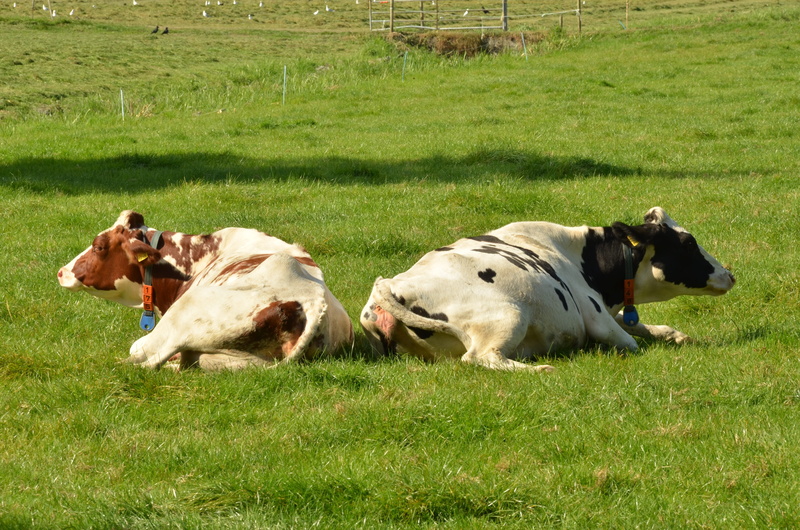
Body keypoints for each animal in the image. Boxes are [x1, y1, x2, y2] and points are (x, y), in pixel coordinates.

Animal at [360, 207, 735, 372]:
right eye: (689, 243)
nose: (730, 274)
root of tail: (391, 284)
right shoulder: (596, 318)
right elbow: (630, 342)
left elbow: (647, 326)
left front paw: (677, 335)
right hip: (508, 315)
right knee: (479, 357)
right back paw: (541, 368)